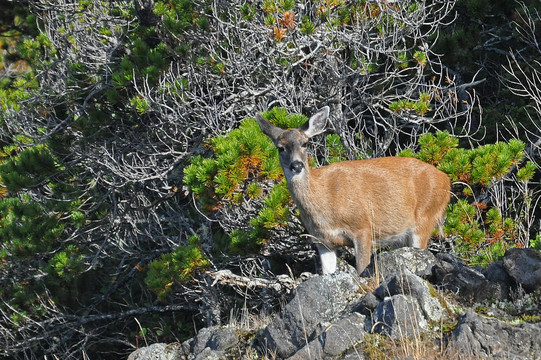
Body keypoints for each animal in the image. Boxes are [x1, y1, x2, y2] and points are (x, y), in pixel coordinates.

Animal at [255, 105, 450, 274]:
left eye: (304, 143)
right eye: (280, 148)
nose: (296, 165)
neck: (325, 202)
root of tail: (446, 180)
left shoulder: (363, 226)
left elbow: (362, 269)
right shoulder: (322, 241)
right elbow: (327, 273)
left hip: (425, 217)